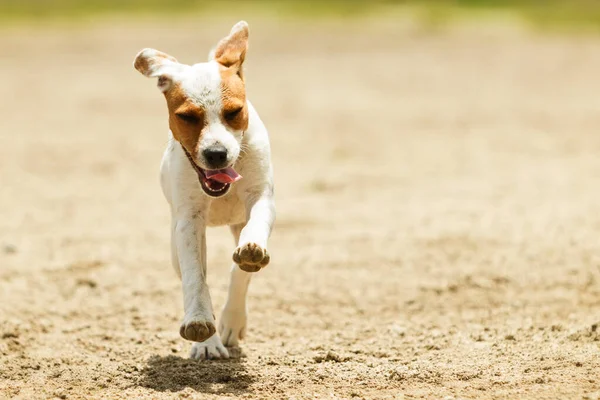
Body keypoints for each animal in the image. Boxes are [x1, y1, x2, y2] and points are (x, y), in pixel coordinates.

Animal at [132, 21, 276, 360]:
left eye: (234, 111)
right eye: (186, 116)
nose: (216, 154)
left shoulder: (260, 198)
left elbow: (246, 256)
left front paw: (251, 250)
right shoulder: (188, 222)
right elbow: (195, 277)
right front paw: (200, 324)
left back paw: (231, 321)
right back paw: (208, 342)